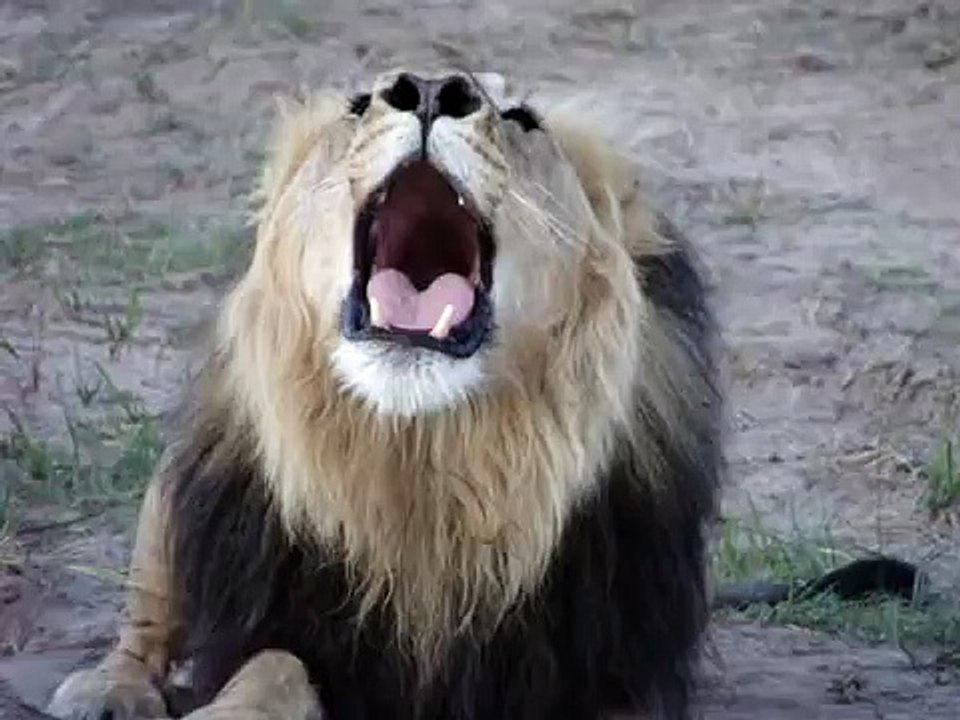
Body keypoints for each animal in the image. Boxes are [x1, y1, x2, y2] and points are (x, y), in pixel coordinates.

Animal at [45, 68, 723, 720]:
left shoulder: (612, 667)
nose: (429, 89)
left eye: (522, 119)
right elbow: (273, 668)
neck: (421, 457)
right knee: (142, 625)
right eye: (357, 105)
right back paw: (104, 694)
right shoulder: (285, 619)